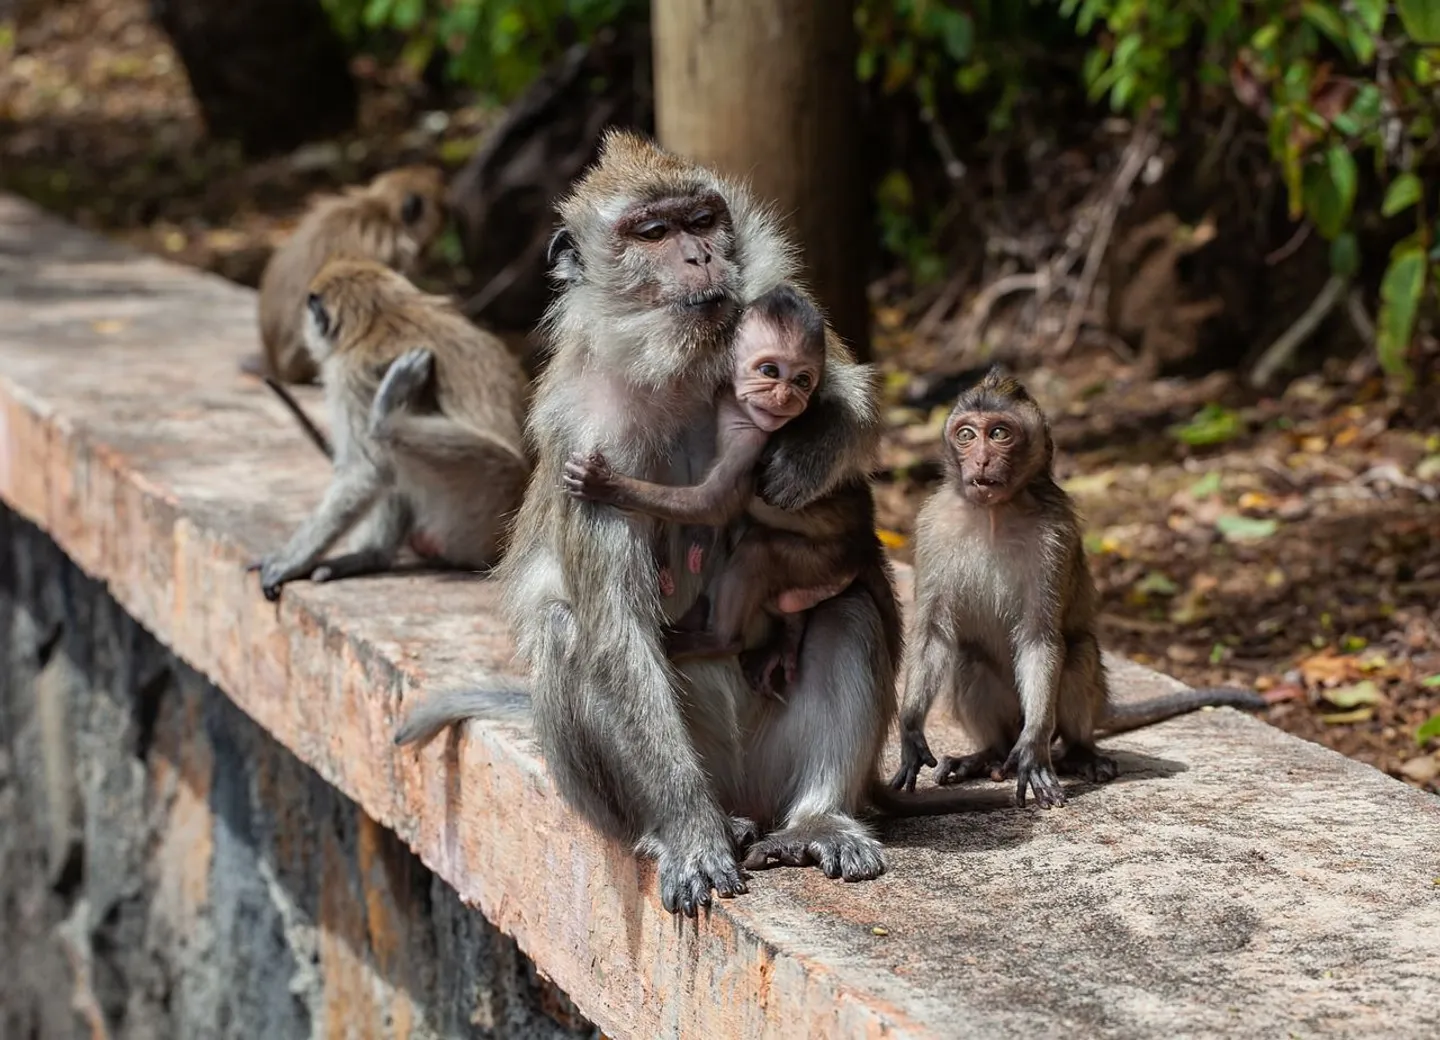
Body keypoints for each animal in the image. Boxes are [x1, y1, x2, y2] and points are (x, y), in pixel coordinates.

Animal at [251, 258, 529, 600]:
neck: (382, 314)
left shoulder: (349, 374)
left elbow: (366, 473)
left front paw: (290, 561)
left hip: (479, 508)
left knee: (388, 449)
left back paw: (385, 416)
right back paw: (373, 556)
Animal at [393, 130, 912, 917]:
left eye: (701, 221)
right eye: (652, 233)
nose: (700, 257)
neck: (678, 371)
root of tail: (747, 793)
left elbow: (854, 402)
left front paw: (807, 450)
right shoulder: (584, 434)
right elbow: (617, 634)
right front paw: (691, 834)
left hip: (773, 761)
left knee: (848, 603)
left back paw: (816, 819)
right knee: (568, 630)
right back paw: (687, 826)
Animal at [889, 368, 1269, 808]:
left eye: (999, 433)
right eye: (966, 435)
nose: (981, 459)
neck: (995, 513)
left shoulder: (1056, 534)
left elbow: (1041, 637)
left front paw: (1033, 749)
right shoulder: (932, 525)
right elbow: (933, 633)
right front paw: (910, 730)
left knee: (1078, 652)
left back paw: (1078, 752)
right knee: (969, 658)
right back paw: (988, 755)